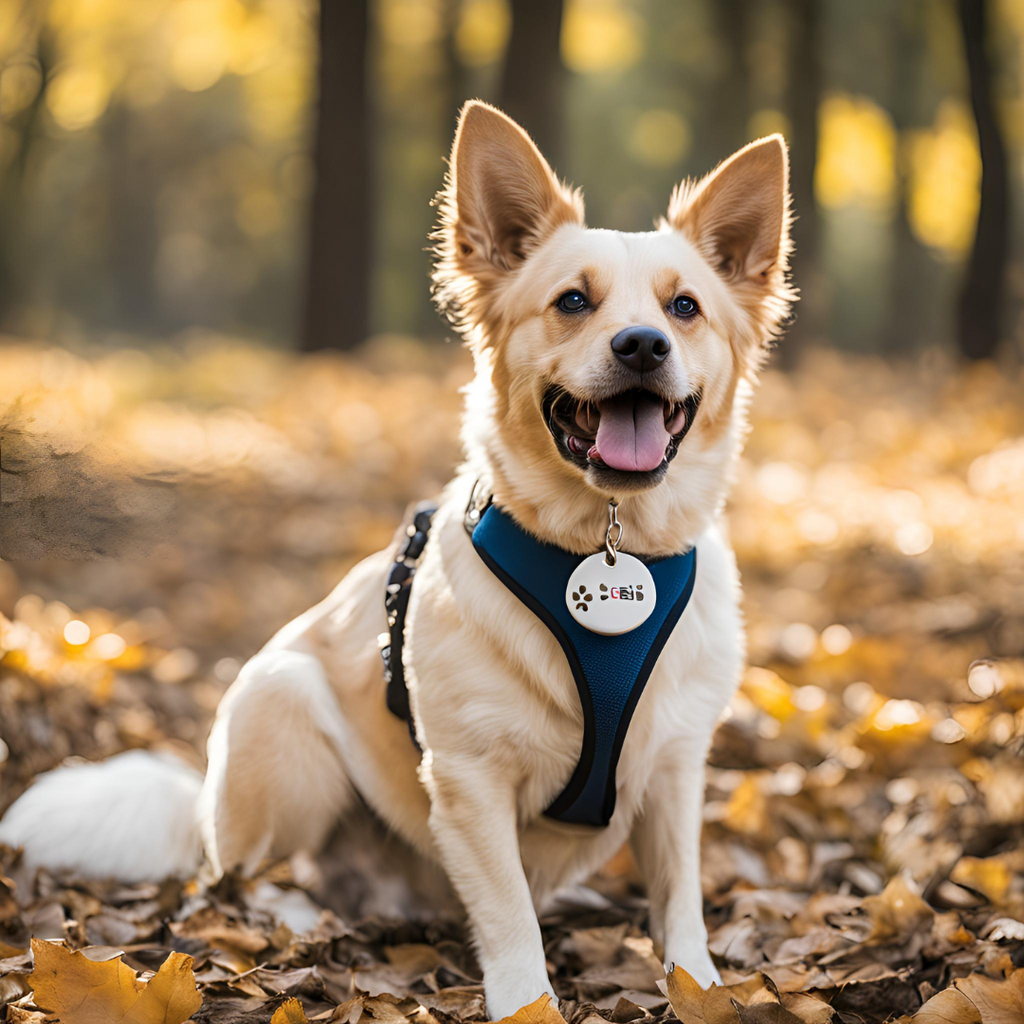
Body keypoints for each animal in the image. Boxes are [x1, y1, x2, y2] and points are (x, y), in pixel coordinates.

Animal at [2, 101, 790, 1015]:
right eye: (572, 301)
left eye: (685, 308)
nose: (641, 345)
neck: (603, 541)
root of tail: (202, 811)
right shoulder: (469, 777)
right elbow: (510, 917)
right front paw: (529, 1006)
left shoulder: (673, 766)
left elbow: (681, 898)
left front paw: (698, 986)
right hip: (282, 710)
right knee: (237, 880)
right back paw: (293, 911)